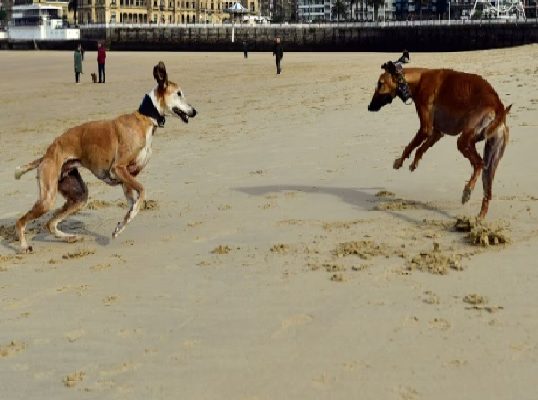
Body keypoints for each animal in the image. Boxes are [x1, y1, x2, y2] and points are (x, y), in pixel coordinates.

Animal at [14, 61, 197, 253]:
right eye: (179, 93)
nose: (194, 111)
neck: (145, 118)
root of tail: (46, 155)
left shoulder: (126, 179)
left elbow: (133, 203)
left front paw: (120, 226)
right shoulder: (119, 169)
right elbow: (141, 194)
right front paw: (128, 217)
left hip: (79, 196)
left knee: (50, 223)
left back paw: (71, 237)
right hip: (47, 199)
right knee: (21, 221)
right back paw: (24, 245)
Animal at [368, 61, 511, 219]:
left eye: (380, 84)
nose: (369, 107)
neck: (418, 79)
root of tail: (499, 107)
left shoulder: (425, 128)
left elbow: (410, 146)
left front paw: (399, 162)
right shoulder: (437, 132)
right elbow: (421, 148)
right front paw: (414, 163)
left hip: (464, 141)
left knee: (478, 163)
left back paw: (467, 190)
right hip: (491, 158)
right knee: (487, 189)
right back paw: (479, 218)